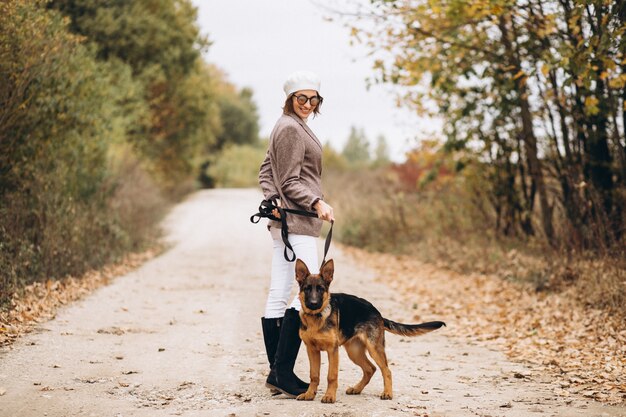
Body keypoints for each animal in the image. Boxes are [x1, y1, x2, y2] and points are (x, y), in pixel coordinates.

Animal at [294, 258, 444, 402]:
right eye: (307, 289)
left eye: (320, 289)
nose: (313, 304)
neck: (316, 317)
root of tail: (376, 311)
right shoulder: (312, 350)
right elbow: (314, 375)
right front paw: (309, 394)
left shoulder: (332, 350)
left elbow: (332, 375)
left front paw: (330, 396)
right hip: (354, 352)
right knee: (370, 369)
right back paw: (357, 389)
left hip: (374, 349)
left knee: (386, 370)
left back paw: (387, 393)